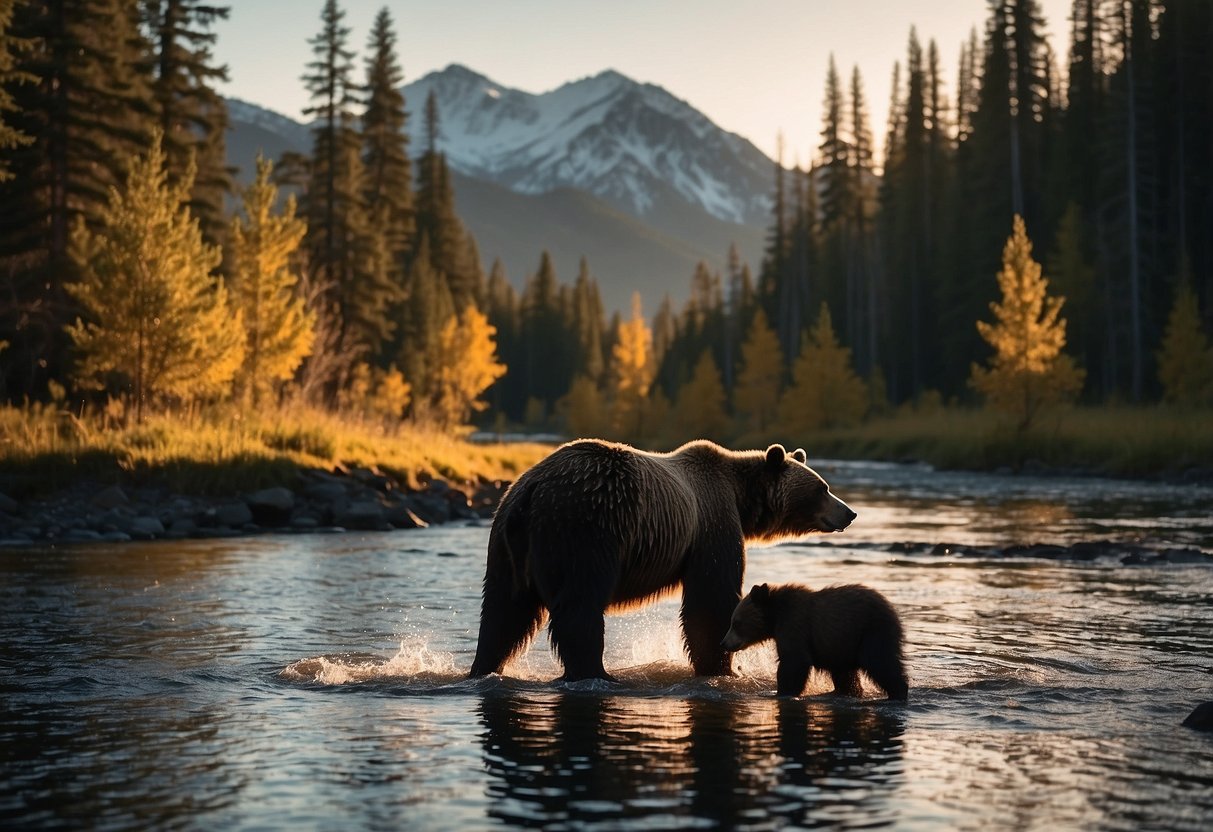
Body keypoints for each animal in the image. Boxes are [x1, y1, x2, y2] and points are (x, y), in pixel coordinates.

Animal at [463, 439, 853, 679]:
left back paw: (483, 665)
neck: (742, 501)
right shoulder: (712, 523)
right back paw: (597, 672)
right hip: (587, 527)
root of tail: (531, 490)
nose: (849, 513)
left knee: (503, 610)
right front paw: (721, 665)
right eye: (822, 488)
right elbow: (710, 599)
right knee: (579, 604)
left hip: (507, 542)